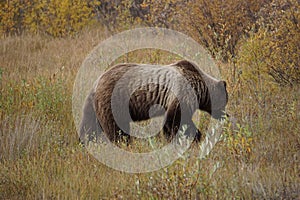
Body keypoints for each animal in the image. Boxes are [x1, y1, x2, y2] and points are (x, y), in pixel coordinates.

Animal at [78, 59, 229, 144]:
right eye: (225, 102)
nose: (225, 115)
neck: (200, 87)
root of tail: (97, 82)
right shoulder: (183, 94)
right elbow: (176, 120)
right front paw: (193, 137)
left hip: (94, 105)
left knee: (89, 125)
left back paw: (84, 142)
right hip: (114, 101)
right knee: (116, 128)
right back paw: (124, 143)